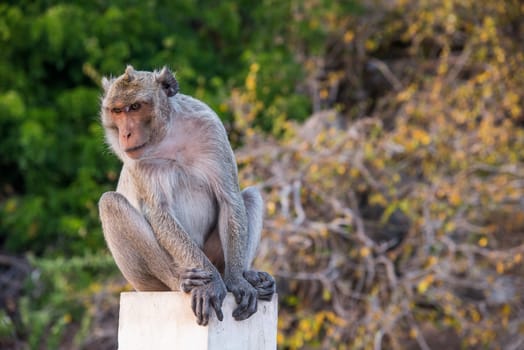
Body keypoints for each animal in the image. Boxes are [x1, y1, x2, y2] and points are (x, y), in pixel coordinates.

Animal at [100, 65, 276, 326]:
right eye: (117, 111)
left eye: (135, 106)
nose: (126, 134)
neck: (167, 135)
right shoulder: (135, 160)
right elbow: (159, 212)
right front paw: (212, 286)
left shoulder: (210, 126)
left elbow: (230, 198)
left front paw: (238, 281)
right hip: (149, 281)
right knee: (110, 202)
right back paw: (183, 281)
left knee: (250, 195)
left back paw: (246, 277)